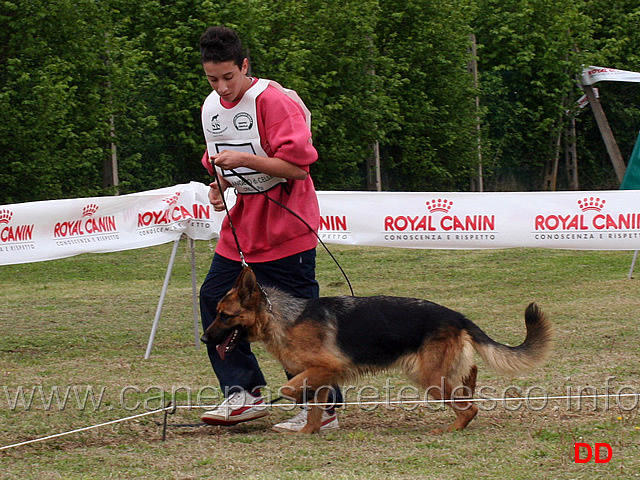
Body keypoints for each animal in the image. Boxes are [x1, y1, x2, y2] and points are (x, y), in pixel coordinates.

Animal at [202, 268, 552, 434]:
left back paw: (451, 427)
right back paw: (466, 393)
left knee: (469, 408)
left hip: (428, 377)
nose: (205, 340)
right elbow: (313, 406)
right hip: (434, 371)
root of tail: (456, 315)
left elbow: (290, 388)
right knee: (471, 373)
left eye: (225, 315)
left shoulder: (326, 369)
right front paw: (308, 431)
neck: (282, 317)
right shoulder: (322, 376)